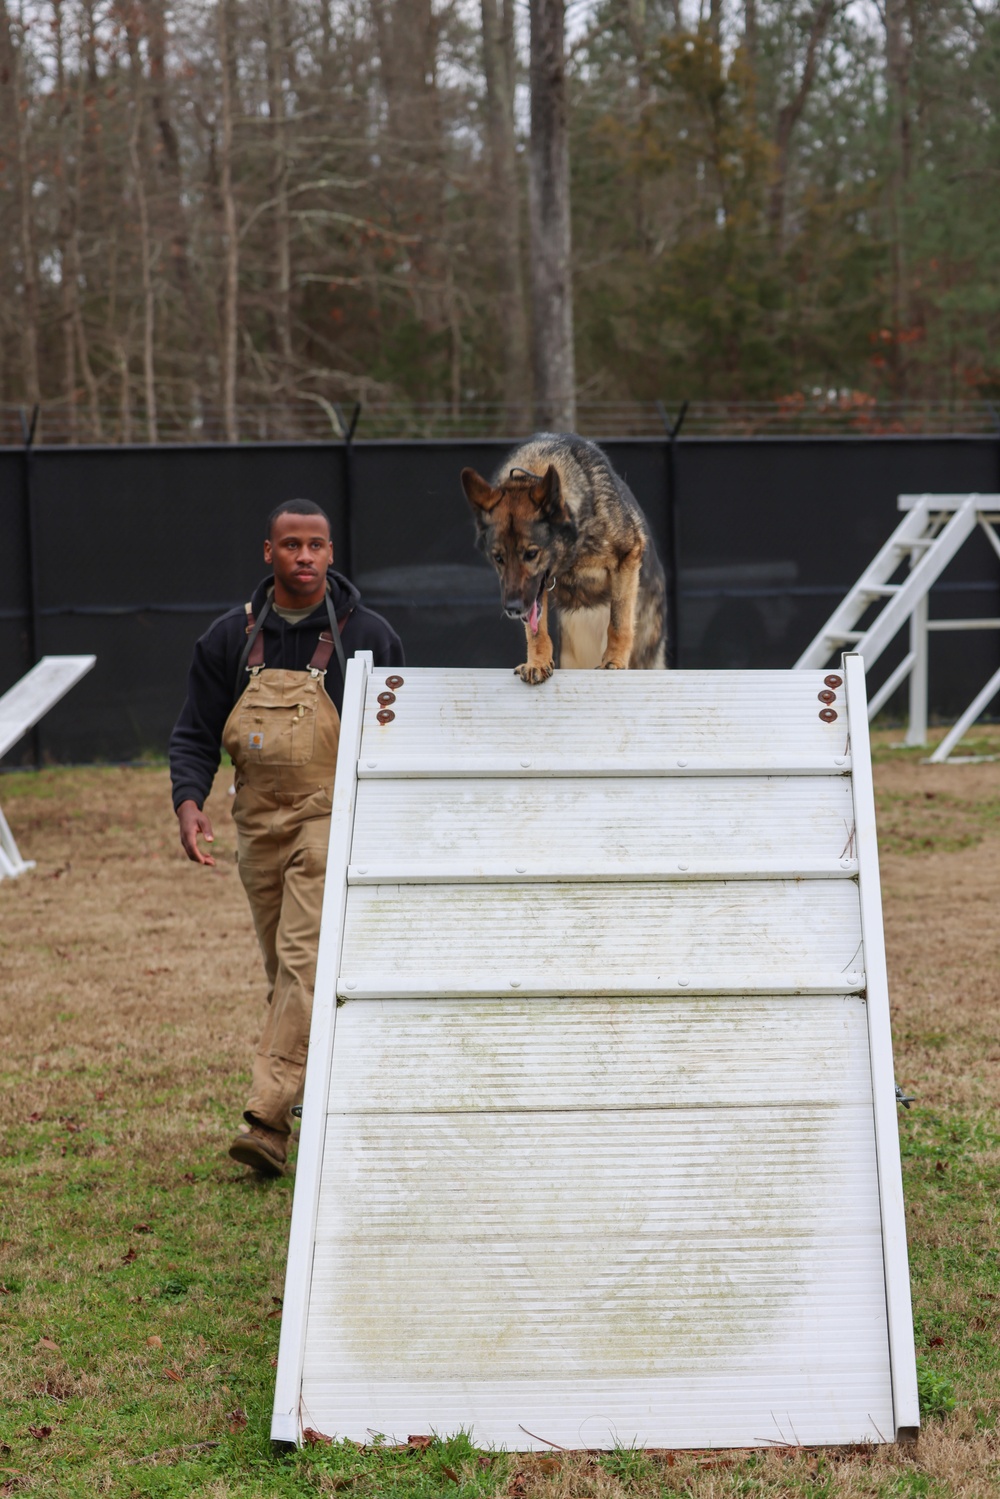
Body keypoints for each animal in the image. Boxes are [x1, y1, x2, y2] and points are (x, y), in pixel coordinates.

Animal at [458, 434, 665, 686]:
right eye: (498, 558)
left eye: (531, 553)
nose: (513, 609)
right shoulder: (536, 592)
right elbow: (536, 631)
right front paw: (537, 662)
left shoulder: (627, 557)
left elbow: (618, 620)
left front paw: (614, 661)